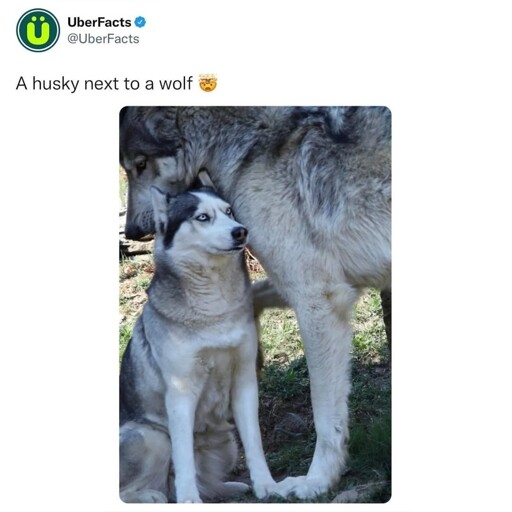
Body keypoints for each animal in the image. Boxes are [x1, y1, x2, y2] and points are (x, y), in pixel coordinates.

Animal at [119, 185, 276, 503]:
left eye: (229, 211)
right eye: (202, 217)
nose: (241, 231)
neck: (214, 311)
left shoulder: (245, 380)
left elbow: (254, 442)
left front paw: (266, 485)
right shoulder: (180, 392)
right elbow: (184, 459)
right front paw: (189, 499)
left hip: (227, 444)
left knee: (205, 480)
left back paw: (228, 487)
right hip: (152, 437)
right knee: (135, 487)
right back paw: (153, 496)